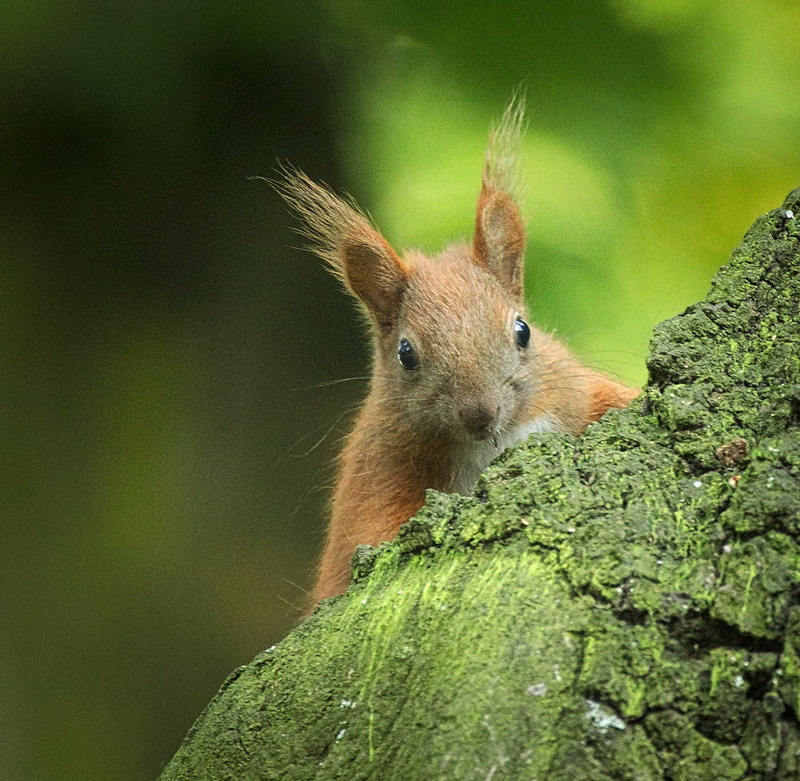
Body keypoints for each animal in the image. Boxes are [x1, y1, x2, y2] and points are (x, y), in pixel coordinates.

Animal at [276, 97, 639, 604]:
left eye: (523, 331)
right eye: (406, 354)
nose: (480, 415)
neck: (492, 444)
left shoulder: (577, 390)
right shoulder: (376, 471)